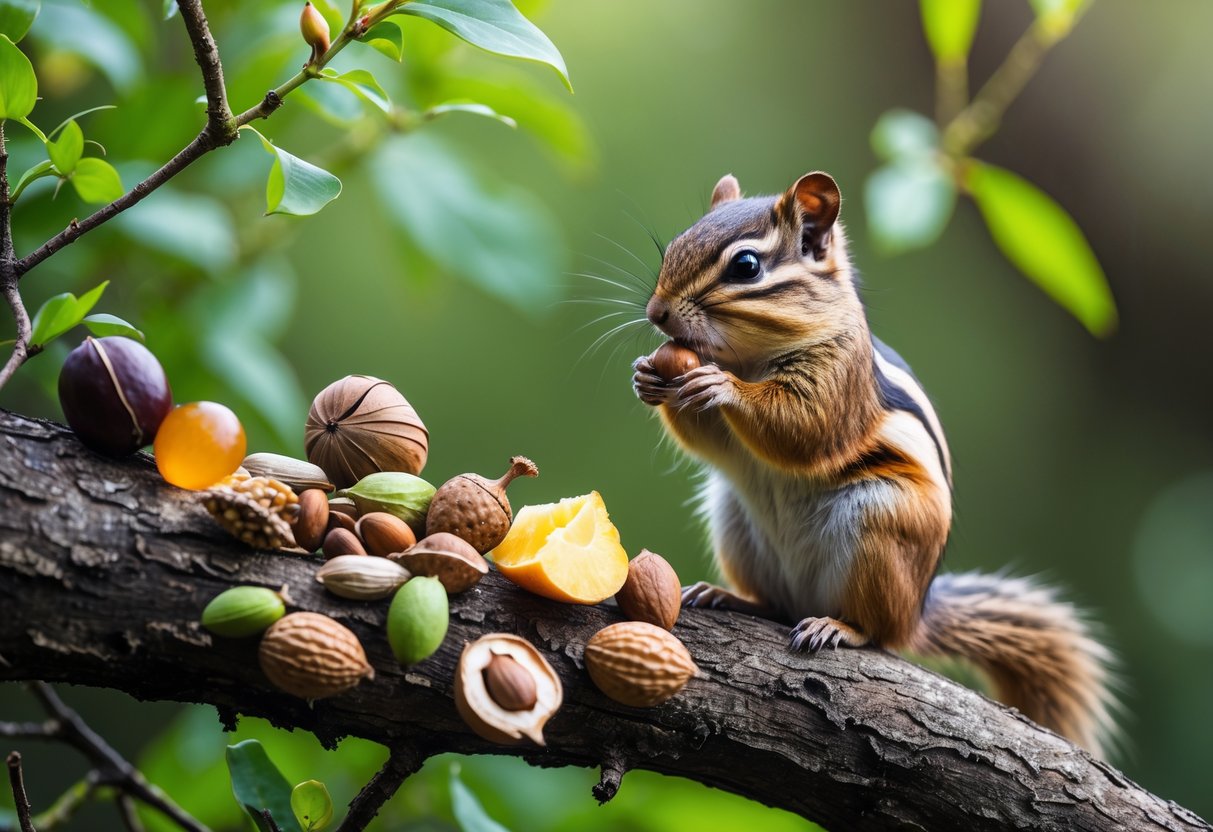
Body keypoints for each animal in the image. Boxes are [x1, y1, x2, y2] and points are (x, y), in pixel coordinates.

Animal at [631, 171, 1116, 756]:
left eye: (745, 266)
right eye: (676, 244)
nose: (656, 313)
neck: (747, 358)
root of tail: (916, 615)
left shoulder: (838, 379)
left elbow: (802, 428)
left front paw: (720, 387)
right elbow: (710, 442)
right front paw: (648, 377)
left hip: (880, 525)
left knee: (877, 633)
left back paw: (839, 627)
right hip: (734, 520)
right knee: (775, 604)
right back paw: (730, 596)